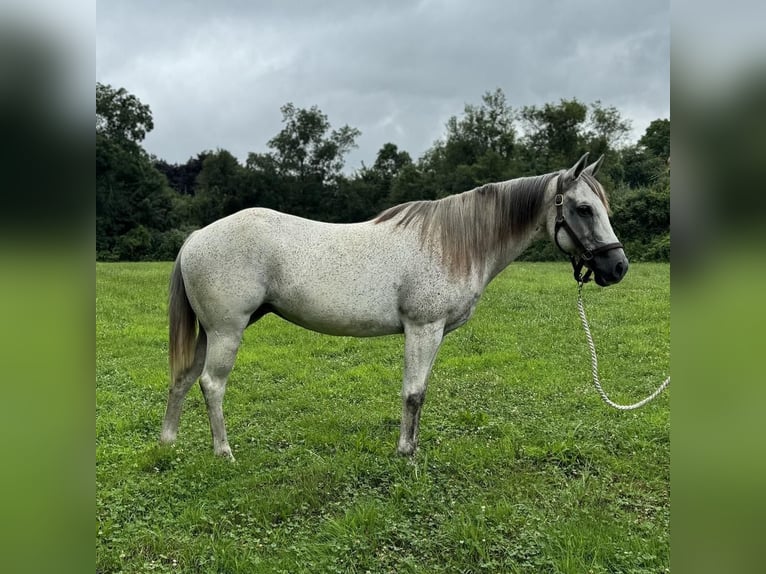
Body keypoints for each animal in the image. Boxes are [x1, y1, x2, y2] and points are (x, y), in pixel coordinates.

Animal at [158, 154, 632, 464]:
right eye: (584, 208)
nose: (618, 267)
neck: (455, 242)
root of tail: (198, 236)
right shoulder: (424, 329)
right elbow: (414, 393)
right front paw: (407, 453)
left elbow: (419, 393)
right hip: (227, 331)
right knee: (212, 385)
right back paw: (224, 452)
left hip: (210, 332)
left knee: (184, 378)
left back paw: (168, 442)